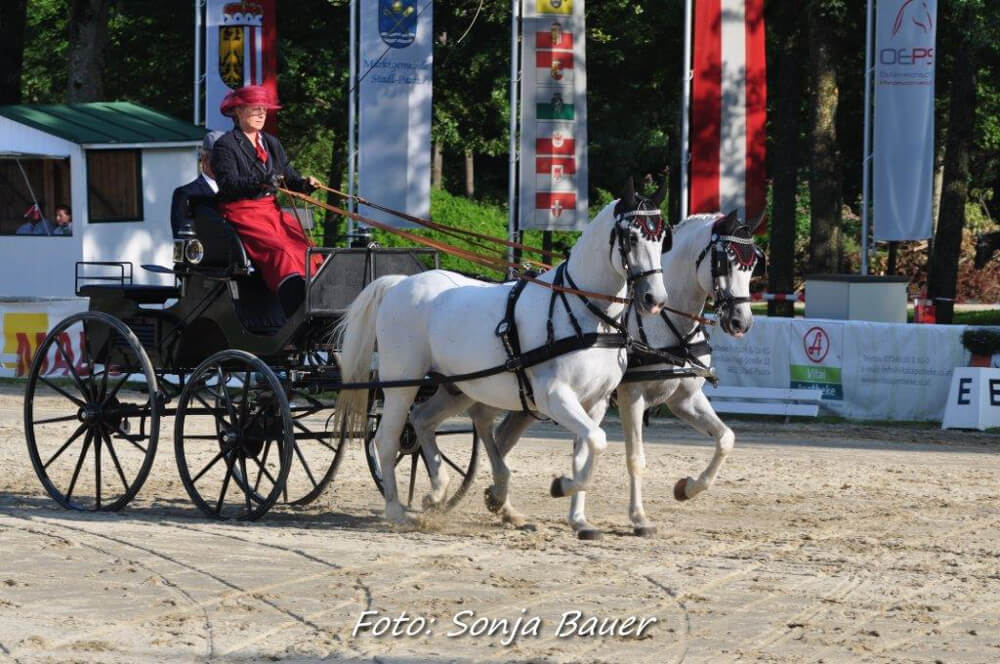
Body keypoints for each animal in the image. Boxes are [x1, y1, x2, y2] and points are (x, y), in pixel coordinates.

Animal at [334, 179, 672, 532]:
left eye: (662, 237)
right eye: (631, 237)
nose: (655, 299)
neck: (583, 311)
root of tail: (400, 284)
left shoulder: (596, 402)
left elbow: (587, 449)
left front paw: (579, 518)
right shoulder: (555, 397)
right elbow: (596, 441)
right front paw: (561, 486)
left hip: (457, 387)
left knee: (423, 420)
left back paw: (437, 493)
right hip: (402, 384)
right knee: (388, 439)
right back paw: (396, 510)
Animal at [410, 210, 760, 536]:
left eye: (754, 262)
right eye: (725, 262)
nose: (741, 322)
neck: (662, 323)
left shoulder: (684, 398)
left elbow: (725, 439)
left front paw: (687, 488)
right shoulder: (631, 396)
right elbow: (635, 457)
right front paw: (639, 518)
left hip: (490, 392)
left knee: (489, 431)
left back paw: (499, 501)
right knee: (475, 426)